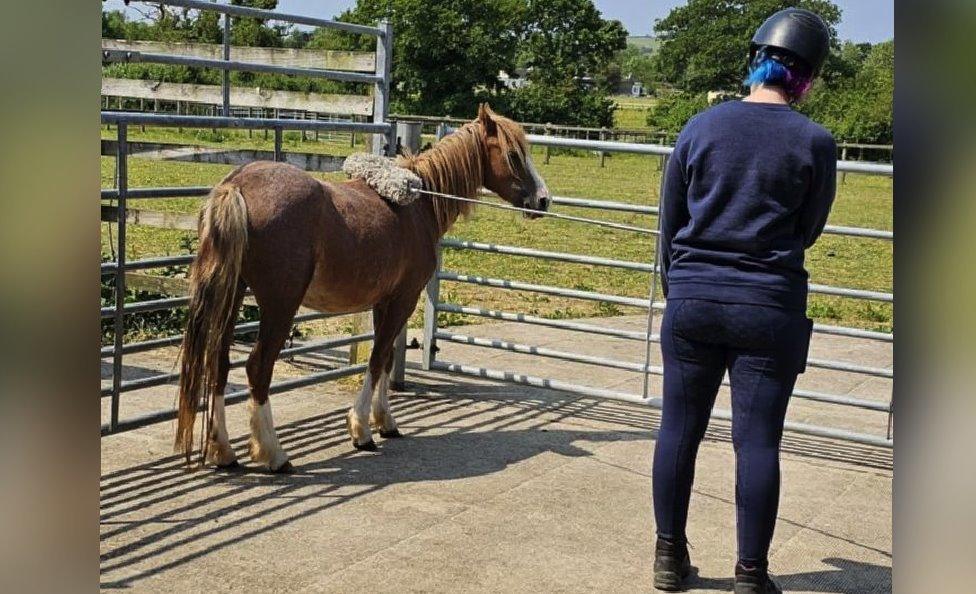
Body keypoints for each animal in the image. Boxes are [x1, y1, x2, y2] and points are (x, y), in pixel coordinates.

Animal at [174, 104, 548, 470]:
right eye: (513, 154)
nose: (543, 200)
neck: (418, 204)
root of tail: (236, 185)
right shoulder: (404, 299)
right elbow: (377, 357)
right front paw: (362, 429)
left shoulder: (385, 302)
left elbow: (386, 358)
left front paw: (385, 421)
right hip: (280, 305)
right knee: (258, 367)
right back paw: (274, 454)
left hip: (233, 294)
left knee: (218, 361)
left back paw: (223, 450)